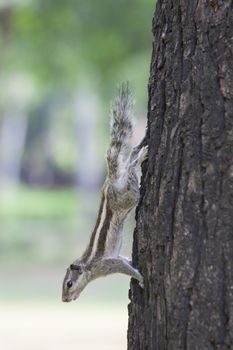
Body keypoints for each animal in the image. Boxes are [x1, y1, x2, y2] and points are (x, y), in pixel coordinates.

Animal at [61, 83, 147, 302]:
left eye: (69, 283)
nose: (64, 300)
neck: (88, 267)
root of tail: (110, 182)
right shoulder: (115, 257)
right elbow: (124, 259)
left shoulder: (107, 264)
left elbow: (124, 267)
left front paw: (140, 278)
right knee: (128, 157)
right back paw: (138, 150)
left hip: (126, 197)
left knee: (131, 173)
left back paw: (140, 157)